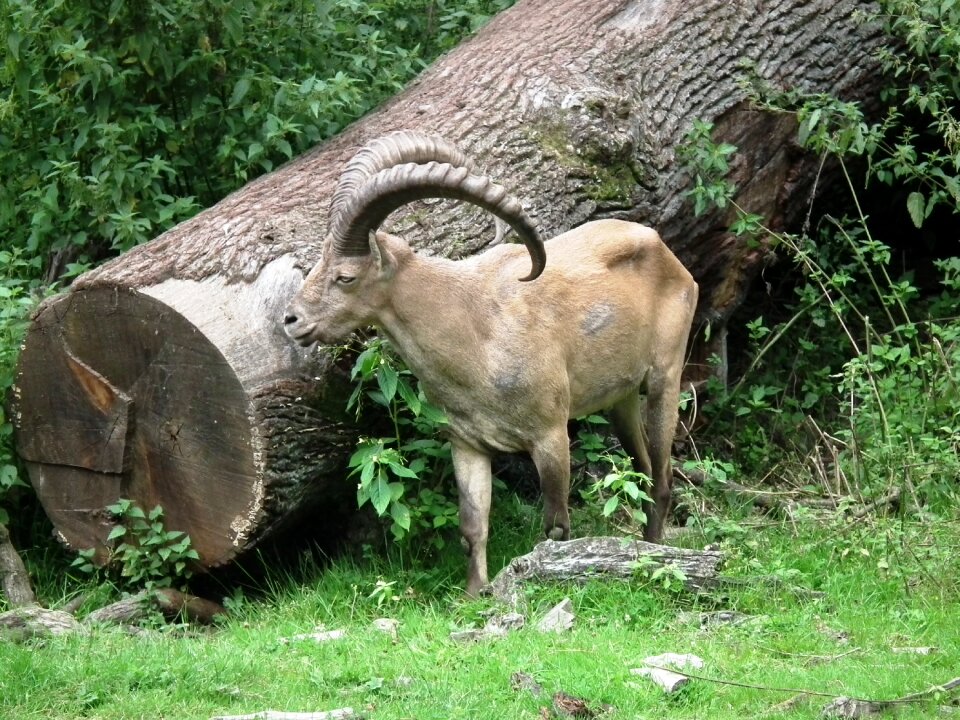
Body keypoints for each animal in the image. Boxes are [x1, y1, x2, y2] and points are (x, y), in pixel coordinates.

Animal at [284, 131, 696, 596]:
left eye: (346, 277)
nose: (291, 320)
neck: (475, 330)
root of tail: (661, 247)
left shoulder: (550, 435)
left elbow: (556, 526)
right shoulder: (466, 443)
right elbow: (473, 525)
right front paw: (474, 592)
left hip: (665, 376)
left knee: (662, 477)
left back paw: (658, 551)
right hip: (618, 399)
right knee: (642, 468)